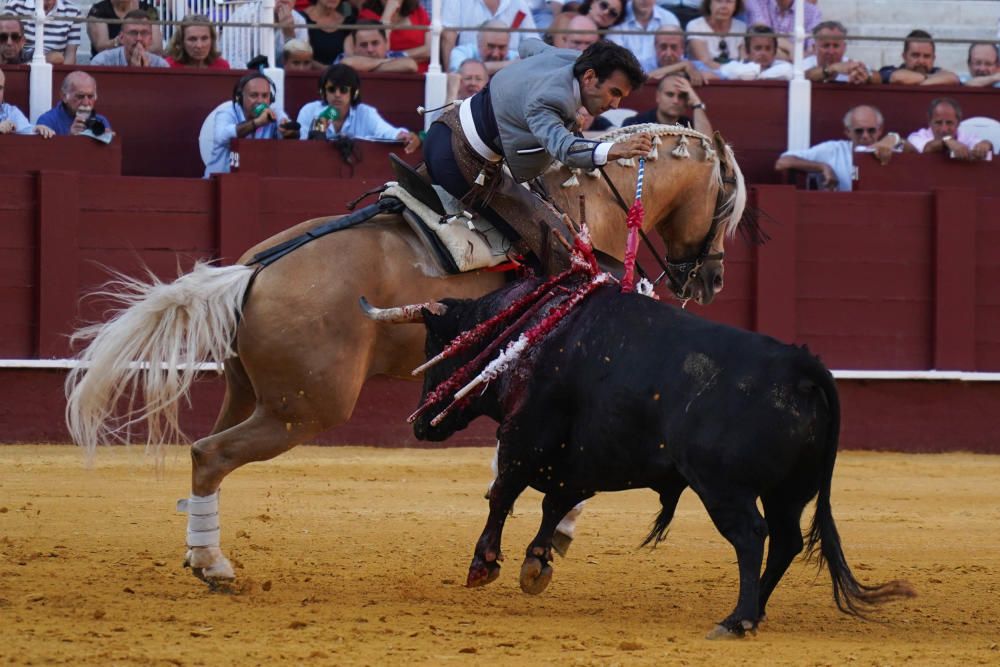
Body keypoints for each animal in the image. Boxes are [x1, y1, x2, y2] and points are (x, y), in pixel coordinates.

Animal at [66, 124, 748, 584]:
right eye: (727, 205)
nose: (711, 278)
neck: (597, 210)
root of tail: (254, 271)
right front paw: (552, 539)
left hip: (251, 393)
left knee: (205, 448)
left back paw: (197, 551)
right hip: (305, 409)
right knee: (211, 454)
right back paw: (213, 564)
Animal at [408, 280, 916, 636]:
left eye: (437, 350)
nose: (420, 423)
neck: (534, 334)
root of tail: (800, 367)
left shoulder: (524, 436)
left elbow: (503, 494)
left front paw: (483, 564)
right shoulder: (583, 459)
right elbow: (553, 504)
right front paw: (536, 563)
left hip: (724, 488)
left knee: (752, 537)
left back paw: (736, 620)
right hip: (787, 492)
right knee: (786, 541)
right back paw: (755, 612)